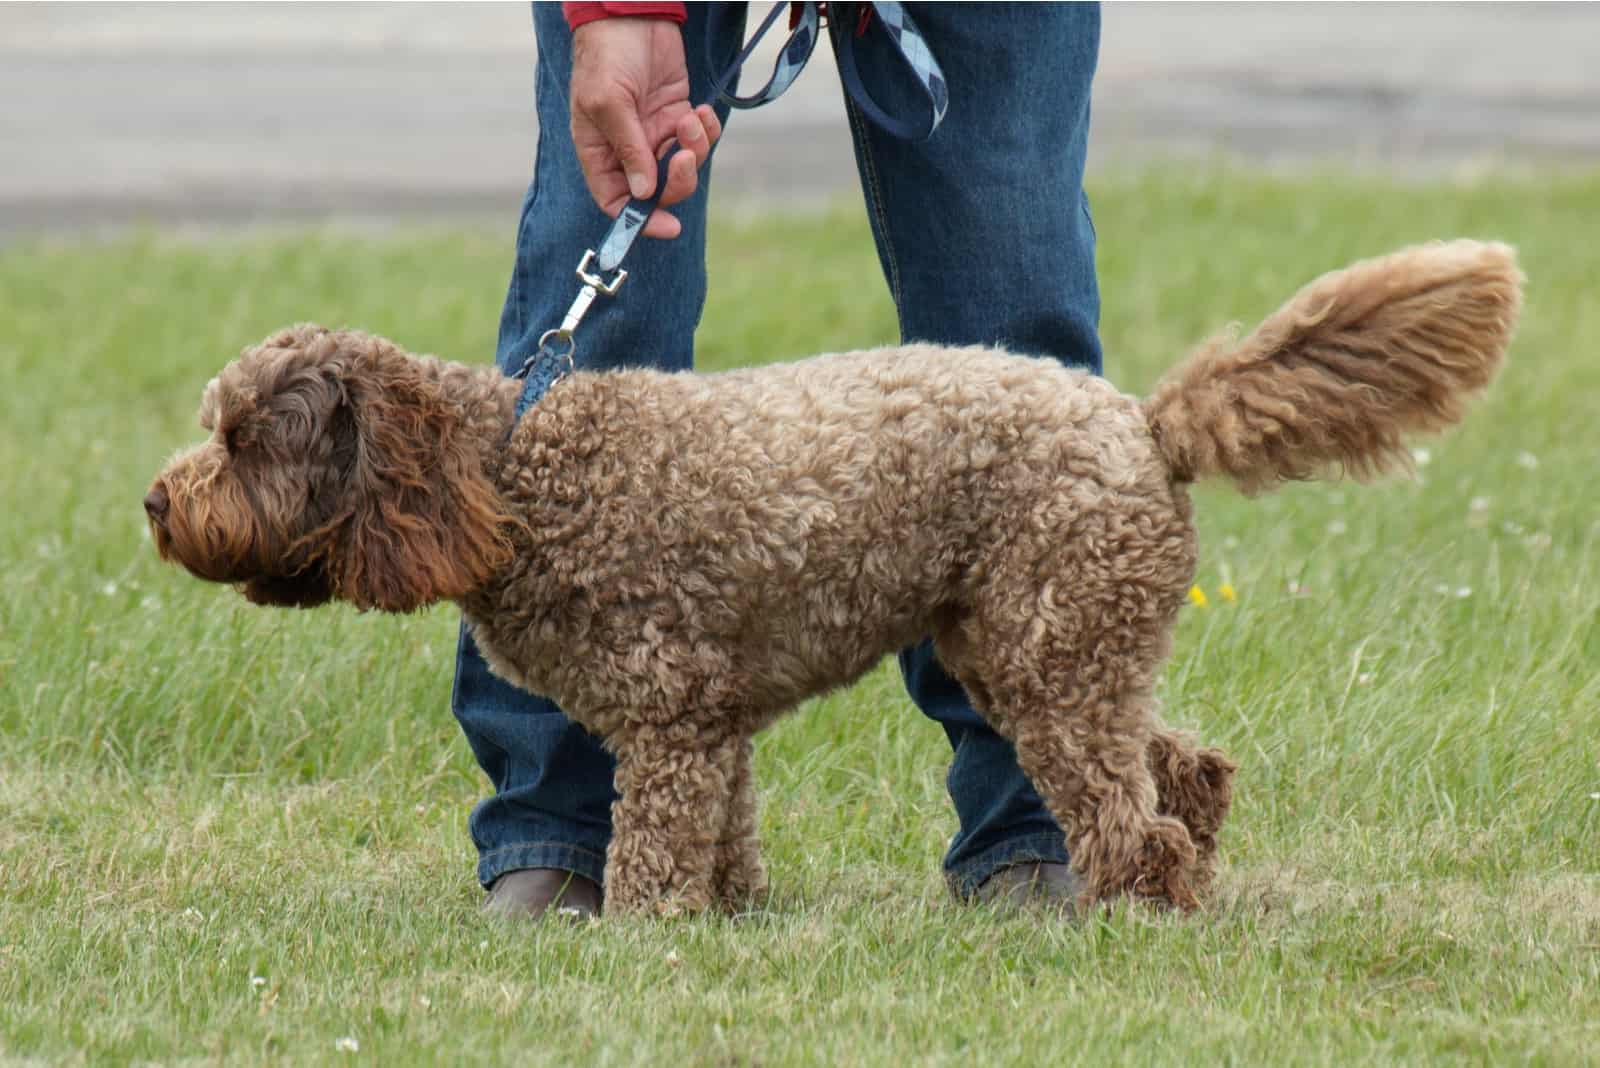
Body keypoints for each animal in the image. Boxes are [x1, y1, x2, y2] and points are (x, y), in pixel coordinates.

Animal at [150, 241, 1523, 920]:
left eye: (243, 440)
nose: (158, 503)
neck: (513, 473)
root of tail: (1142, 419)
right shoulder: (711, 721)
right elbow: (726, 830)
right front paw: (730, 920)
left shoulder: (668, 714)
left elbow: (657, 846)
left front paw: (640, 940)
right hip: (1051, 642)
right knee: (1185, 770)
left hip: (1051, 652)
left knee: (1129, 811)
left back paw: (1130, 906)